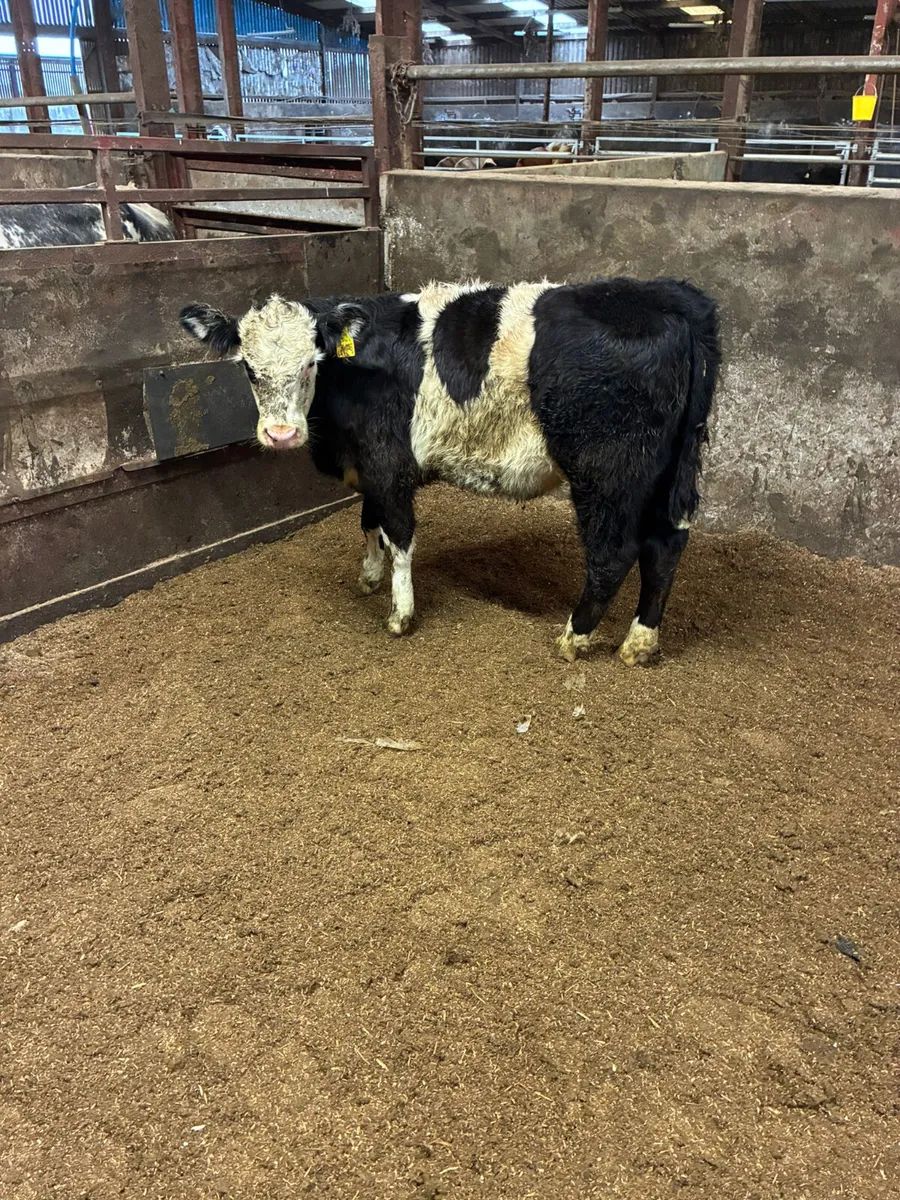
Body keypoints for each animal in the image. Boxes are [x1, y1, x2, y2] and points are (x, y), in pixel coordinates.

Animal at [179, 277, 719, 664]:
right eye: (248, 368)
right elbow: (368, 522)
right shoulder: (370, 468)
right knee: (666, 544)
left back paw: (574, 637)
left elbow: (398, 535)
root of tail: (666, 296)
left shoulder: (388, 463)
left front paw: (400, 613)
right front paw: (369, 575)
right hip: (667, 473)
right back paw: (640, 643)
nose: (280, 433)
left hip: (608, 475)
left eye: (311, 363)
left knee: (614, 553)